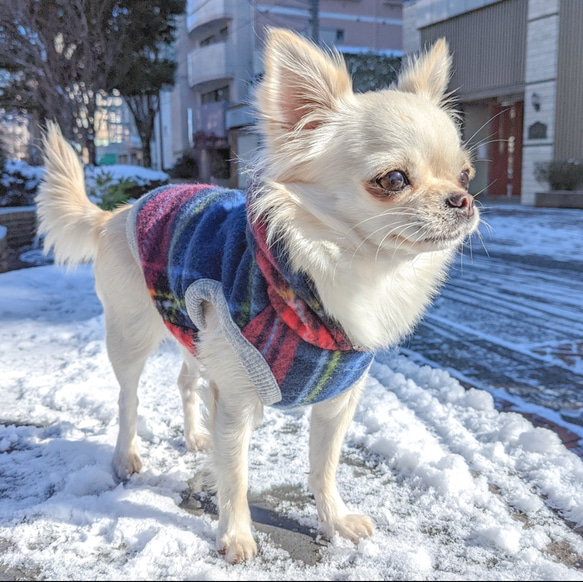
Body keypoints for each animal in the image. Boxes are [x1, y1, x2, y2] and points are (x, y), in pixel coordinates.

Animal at [35, 28, 480, 564]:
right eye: (392, 180)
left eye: (466, 175)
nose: (464, 200)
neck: (335, 275)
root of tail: (115, 213)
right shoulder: (237, 398)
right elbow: (237, 476)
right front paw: (236, 536)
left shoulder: (337, 401)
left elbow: (324, 466)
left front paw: (333, 521)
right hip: (132, 335)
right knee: (128, 398)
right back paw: (127, 456)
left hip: (194, 332)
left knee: (185, 382)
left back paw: (194, 435)